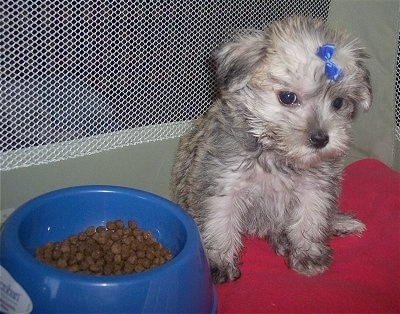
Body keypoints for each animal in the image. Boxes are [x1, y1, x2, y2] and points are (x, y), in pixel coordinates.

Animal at [170, 15, 372, 284]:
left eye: (338, 103)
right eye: (287, 97)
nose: (320, 139)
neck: (275, 152)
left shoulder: (315, 188)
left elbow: (310, 218)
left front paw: (308, 255)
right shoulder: (222, 183)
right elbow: (219, 223)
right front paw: (219, 263)